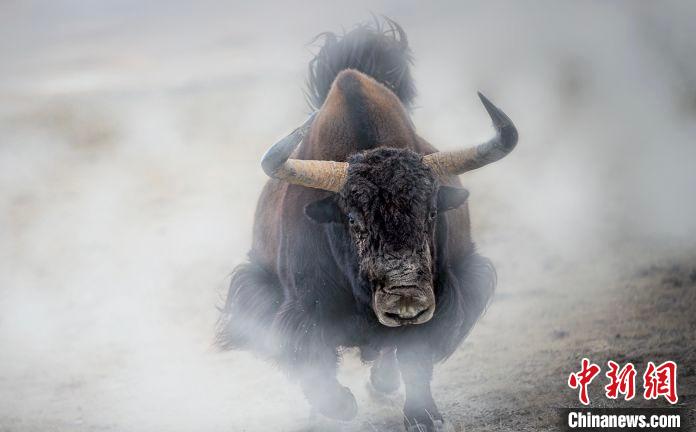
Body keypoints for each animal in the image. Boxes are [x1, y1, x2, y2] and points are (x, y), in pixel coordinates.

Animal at [217, 19, 517, 432]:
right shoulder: (301, 310)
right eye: (352, 219)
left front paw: (424, 417)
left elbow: (416, 357)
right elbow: (314, 362)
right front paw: (339, 407)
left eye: (431, 213)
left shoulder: (445, 295)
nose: (405, 300)